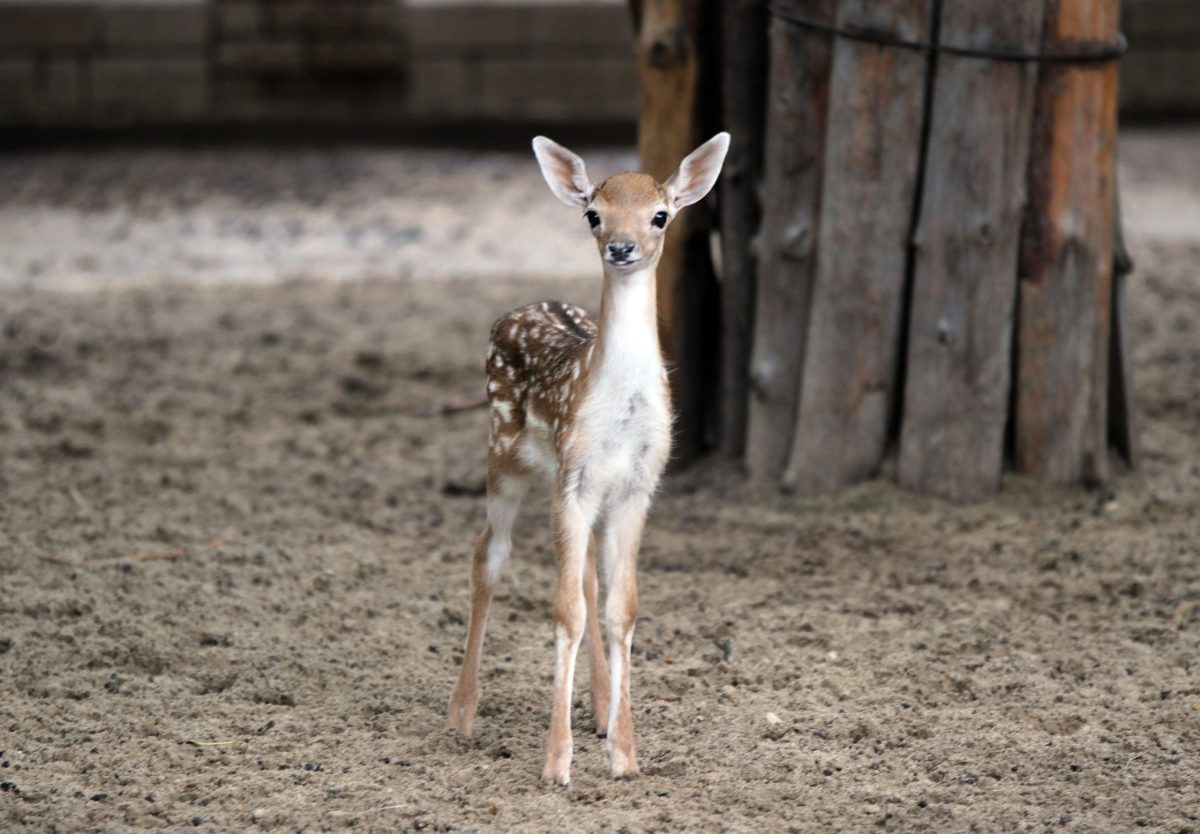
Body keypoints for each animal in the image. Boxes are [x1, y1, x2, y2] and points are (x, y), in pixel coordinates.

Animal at [451, 130, 729, 782]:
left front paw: (624, 756)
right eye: (593, 215)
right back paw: (462, 716)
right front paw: (557, 764)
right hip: (505, 456)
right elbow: (567, 613)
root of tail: (515, 311)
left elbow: (619, 609)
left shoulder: (637, 486)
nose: (622, 247)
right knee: (488, 557)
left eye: (661, 214)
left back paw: (601, 710)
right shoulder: (573, 479)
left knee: (583, 576)